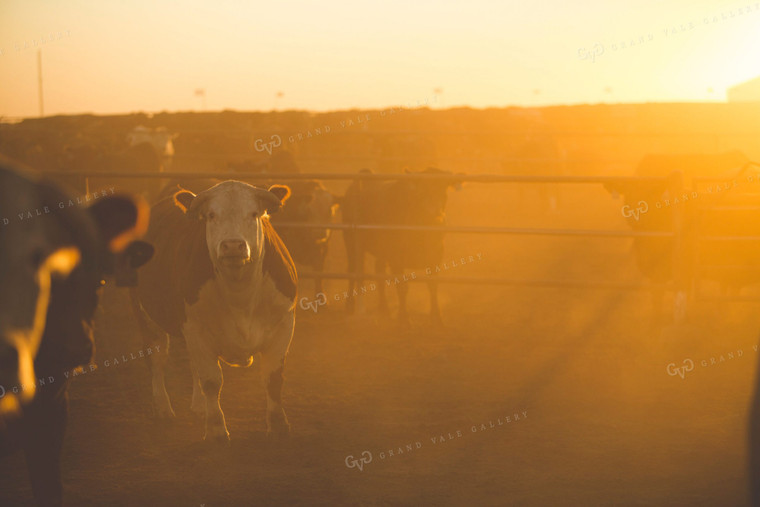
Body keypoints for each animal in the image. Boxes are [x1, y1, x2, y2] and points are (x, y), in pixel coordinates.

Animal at [129, 181, 296, 442]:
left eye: (254, 213)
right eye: (211, 215)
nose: (233, 245)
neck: (240, 292)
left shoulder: (284, 323)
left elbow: (273, 378)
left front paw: (279, 425)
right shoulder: (196, 329)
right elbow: (211, 381)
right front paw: (216, 428)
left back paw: (199, 406)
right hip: (146, 315)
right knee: (157, 360)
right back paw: (163, 408)